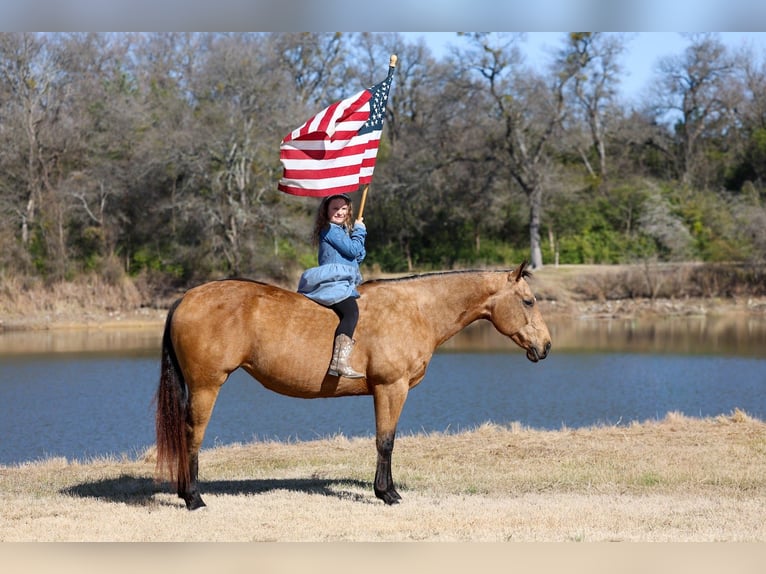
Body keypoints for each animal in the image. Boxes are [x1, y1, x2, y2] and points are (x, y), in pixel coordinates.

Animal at [155, 261, 551, 510]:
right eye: (529, 301)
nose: (546, 346)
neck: (415, 309)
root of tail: (185, 298)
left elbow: (385, 441)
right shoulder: (391, 387)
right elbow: (386, 441)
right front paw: (387, 493)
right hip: (206, 386)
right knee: (192, 435)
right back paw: (193, 498)